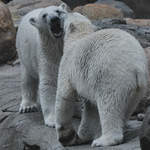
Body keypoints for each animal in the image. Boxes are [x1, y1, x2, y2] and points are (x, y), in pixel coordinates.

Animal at [55, 12, 149, 146]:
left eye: (67, 15)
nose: (60, 13)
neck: (78, 38)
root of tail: (137, 67)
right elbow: (91, 108)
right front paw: (83, 136)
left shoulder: (68, 64)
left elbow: (64, 95)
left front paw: (66, 137)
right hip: (139, 88)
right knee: (127, 106)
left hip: (111, 77)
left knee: (109, 105)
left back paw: (102, 140)